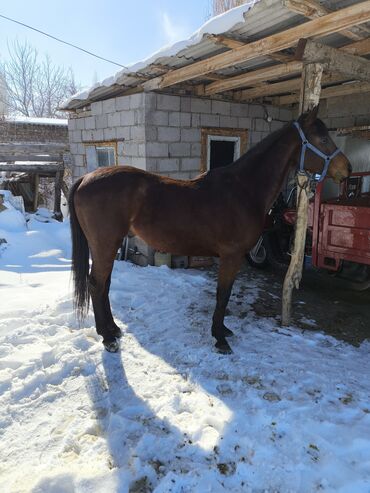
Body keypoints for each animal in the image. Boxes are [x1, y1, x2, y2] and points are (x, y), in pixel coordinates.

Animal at [68, 106, 350, 354]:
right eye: (322, 137)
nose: (346, 169)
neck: (244, 190)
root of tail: (85, 179)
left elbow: (225, 294)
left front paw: (223, 331)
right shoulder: (231, 256)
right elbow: (223, 295)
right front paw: (219, 339)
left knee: (104, 284)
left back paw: (113, 330)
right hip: (105, 244)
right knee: (97, 284)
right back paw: (107, 338)